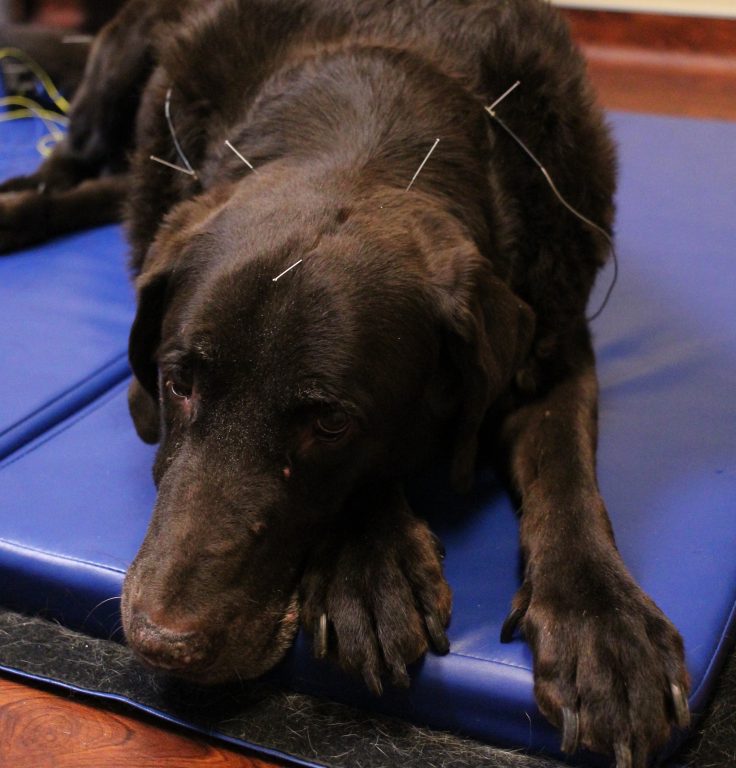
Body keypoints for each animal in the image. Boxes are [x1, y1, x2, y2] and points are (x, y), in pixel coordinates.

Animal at [0, 3, 688, 764]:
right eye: (177, 383)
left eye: (330, 424)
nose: (162, 643)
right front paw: (372, 569)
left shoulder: (554, 339)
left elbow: (564, 472)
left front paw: (602, 628)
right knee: (77, 164)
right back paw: (22, 202)